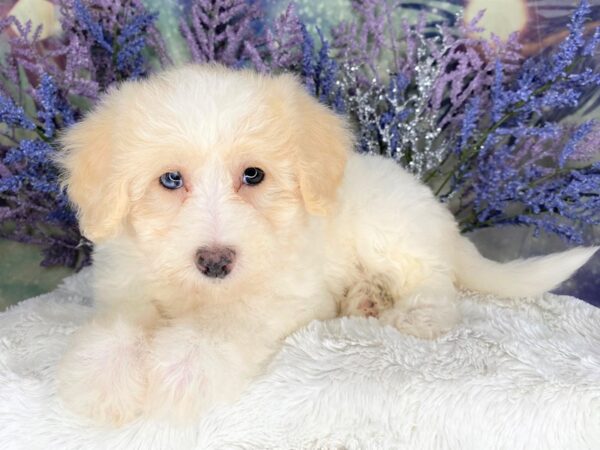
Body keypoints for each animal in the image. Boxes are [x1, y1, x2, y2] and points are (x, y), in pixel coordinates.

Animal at [55, 63, 596, 426]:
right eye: (170, 180)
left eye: (253, 175)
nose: (215, 262)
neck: (201, 292)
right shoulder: (126, 284)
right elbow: (120, 326)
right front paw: (105, 379)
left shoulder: (285, 294)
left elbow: (225, 322)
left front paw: (182, 370)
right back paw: (364, 298)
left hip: (391, 230)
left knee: (433, 282)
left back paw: (415, 314)